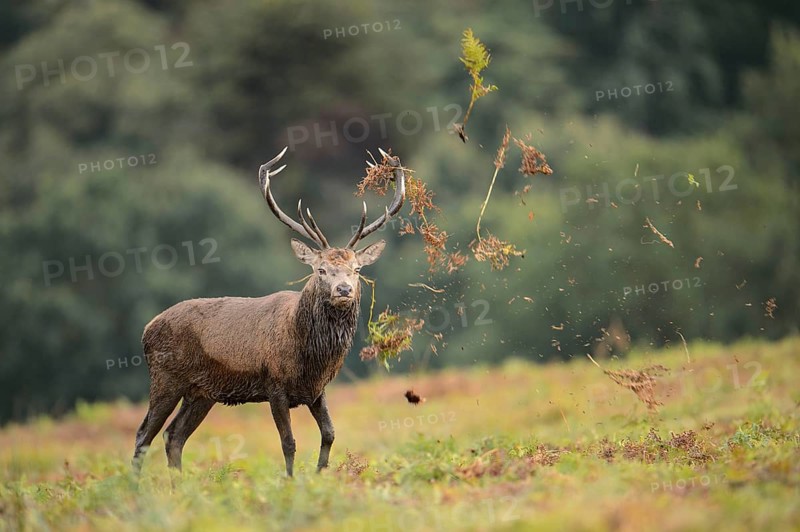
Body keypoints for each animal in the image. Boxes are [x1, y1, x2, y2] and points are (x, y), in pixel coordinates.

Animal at [131, 147, 405, 477]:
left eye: (356, 270)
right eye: (320, 269)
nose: (343, 290)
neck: (311, 357)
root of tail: (146, 329)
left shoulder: (317, 390)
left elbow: (329, 433)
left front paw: (320, 475)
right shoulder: (275, 385)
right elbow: (289, 443)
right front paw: (290, 481)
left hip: (202, 392)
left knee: (174, 435)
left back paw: (179, 484)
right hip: (165, 378)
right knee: (144, 434)